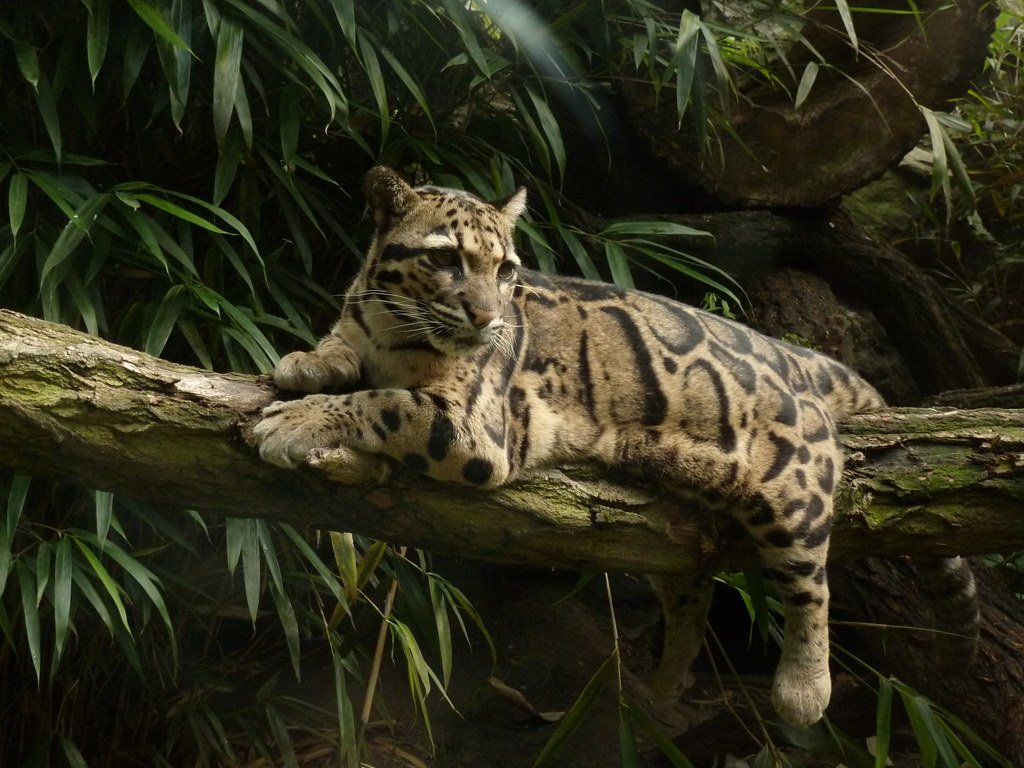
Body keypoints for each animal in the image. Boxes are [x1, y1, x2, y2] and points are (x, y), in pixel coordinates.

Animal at [252, 165, 890, 727]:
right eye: (444, 258)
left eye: (506, 268)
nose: (486, 317)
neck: (390, 325)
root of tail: (793, 355)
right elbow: (340, 348)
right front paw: (307, 360)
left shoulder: (476, 430)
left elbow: (383, 401)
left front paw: (298, 419)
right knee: (690, 590)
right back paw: (666, 683)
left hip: (792, 486)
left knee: (810, 583)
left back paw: (803, 689)